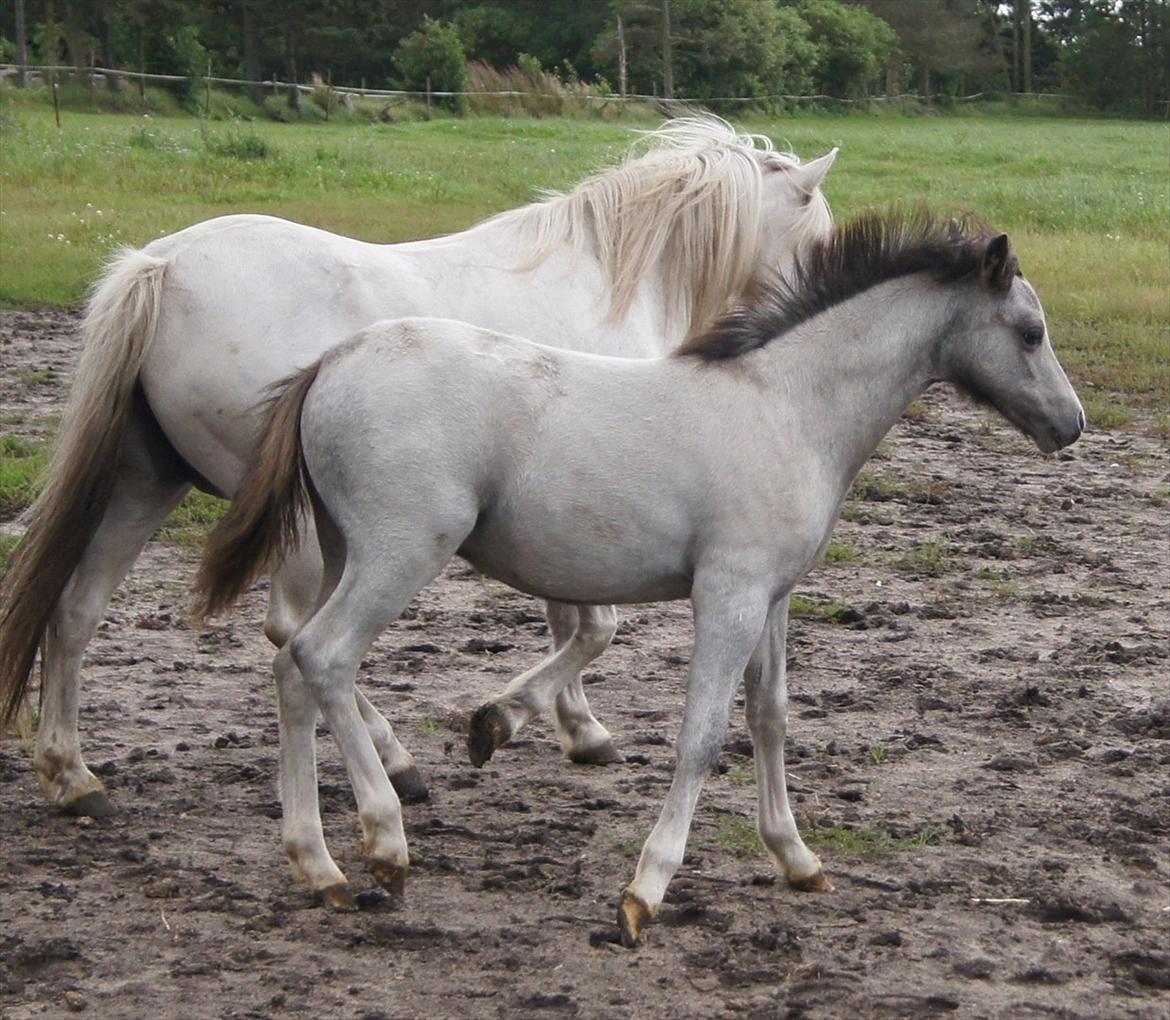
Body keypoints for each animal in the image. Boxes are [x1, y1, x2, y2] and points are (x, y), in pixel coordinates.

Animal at [0, 115, 842, 818]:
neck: (612, 275)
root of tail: (163, 266)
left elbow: (568, 615)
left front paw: (576, 729)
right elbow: (592, 626)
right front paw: (525, 722)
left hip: (144, 484)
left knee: (77, 609)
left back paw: (73, 777)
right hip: (291, 519)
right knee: (298, 637)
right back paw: (395, 765)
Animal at [194, 211, 1085, 945]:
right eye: (1030, 331)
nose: (1071, 425)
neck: (789, 407)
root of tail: (330, 362)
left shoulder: (772, 595)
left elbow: (770, 718)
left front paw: (797, 858)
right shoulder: (727, 593)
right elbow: (702, 736)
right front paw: (643, 893)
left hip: (344, 549)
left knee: (290, 665)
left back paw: (319, 868)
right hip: (400, 549)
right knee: (325, 656)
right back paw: (384, 843)